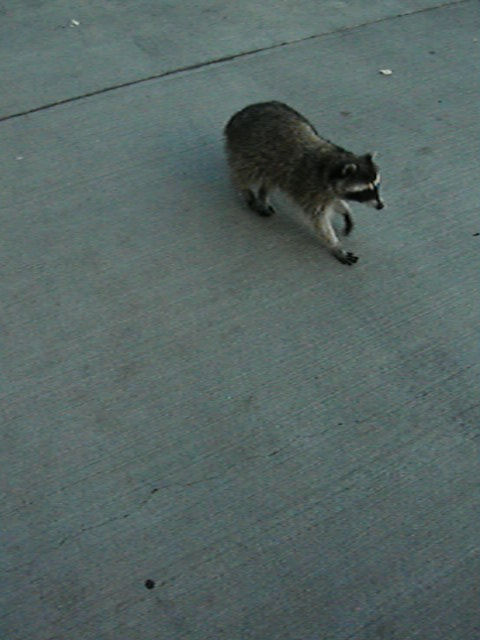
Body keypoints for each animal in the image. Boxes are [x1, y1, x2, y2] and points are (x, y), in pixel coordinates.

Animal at [223, 100, 384, 264]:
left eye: (377, 185)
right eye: (364, 191)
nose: (381, 206)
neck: (331, 164)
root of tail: (239, 115)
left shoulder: (327, 192)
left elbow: (335, 202)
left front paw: (346, 211)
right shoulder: (310, 190)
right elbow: (319, 220)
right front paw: (335, 246)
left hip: (273, 166)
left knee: (270, 178)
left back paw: (263, 194)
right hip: (247, 151)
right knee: (244, 174)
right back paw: (246, 191)